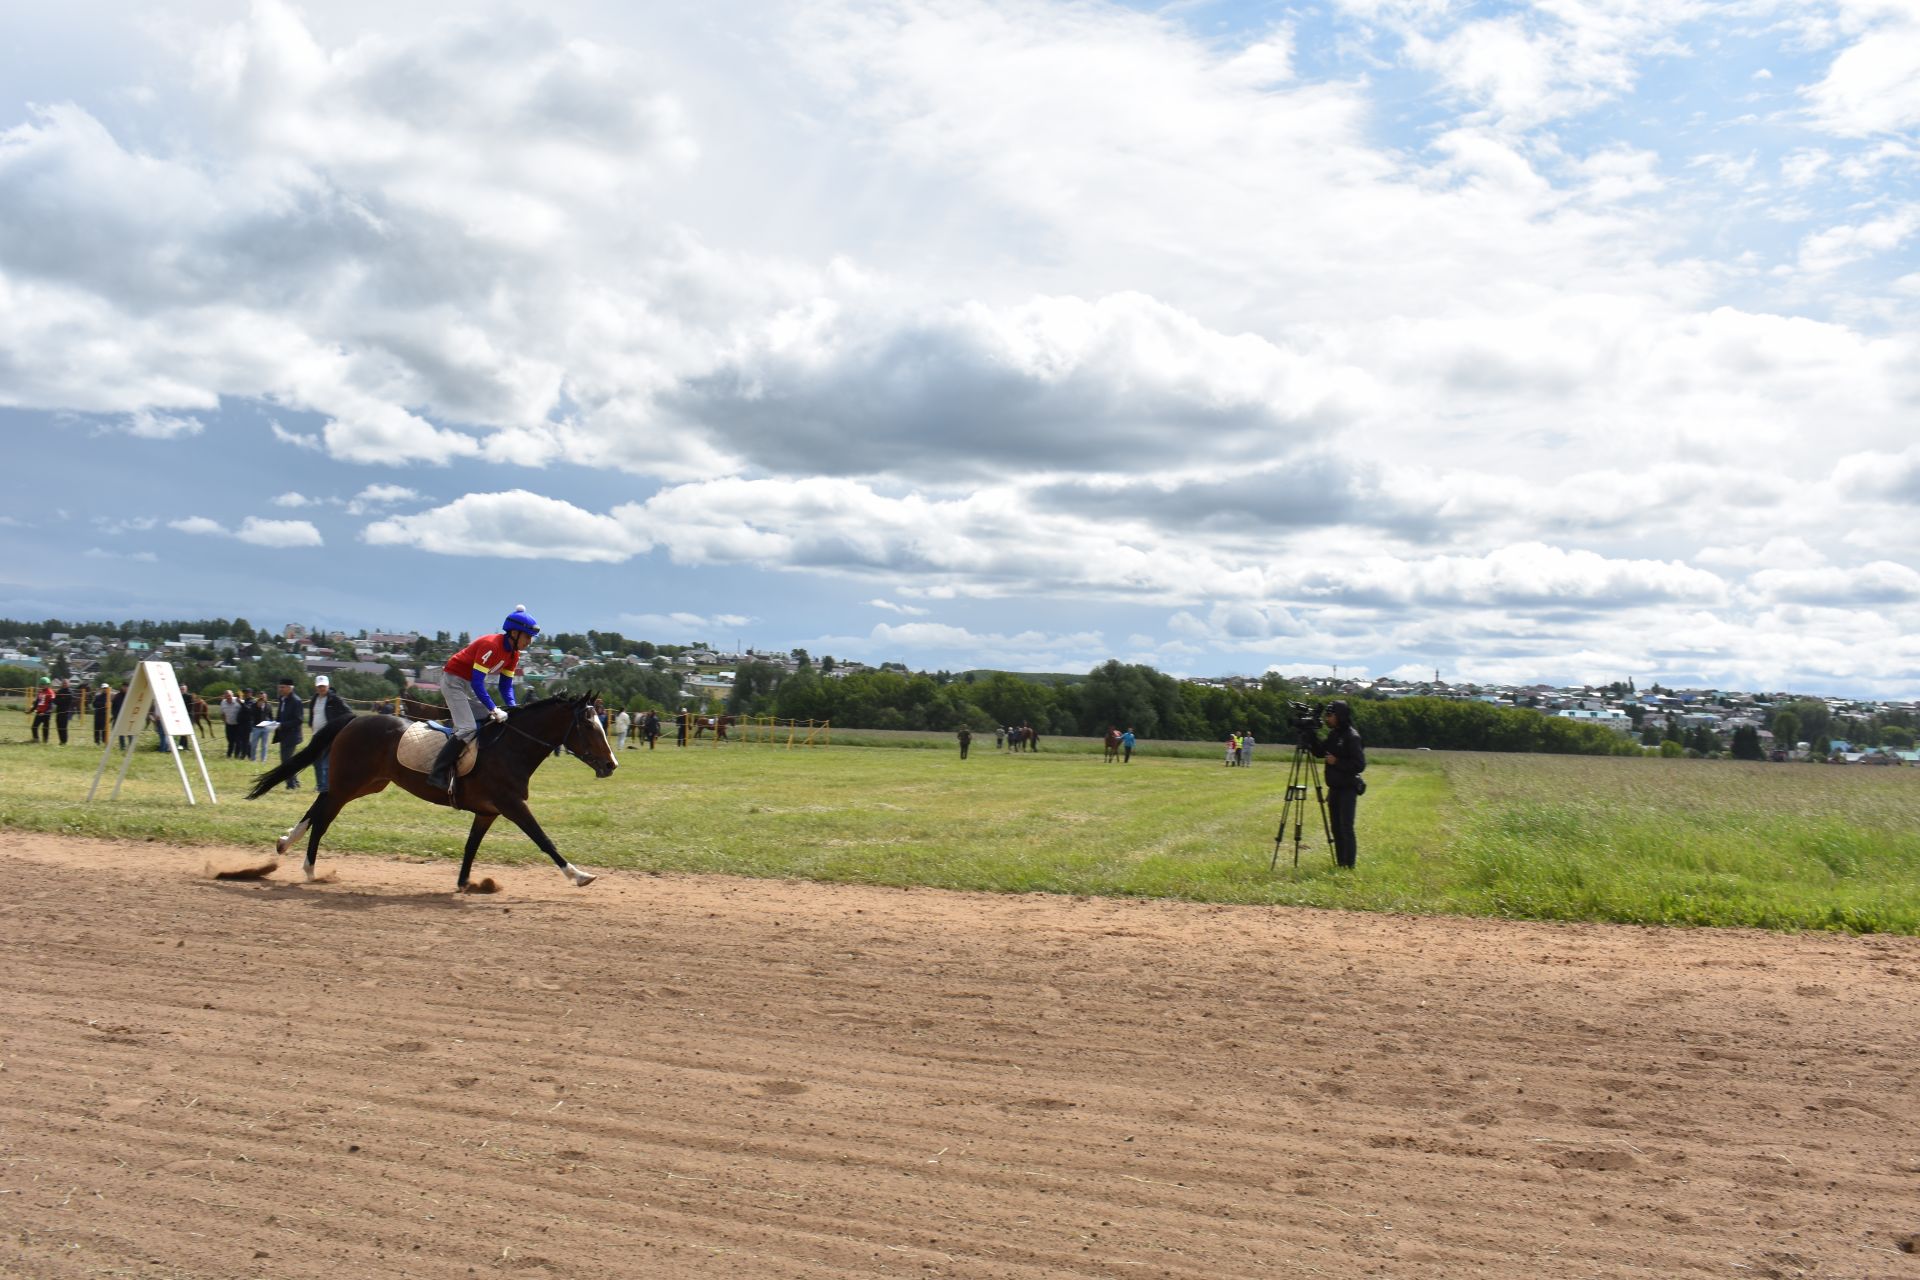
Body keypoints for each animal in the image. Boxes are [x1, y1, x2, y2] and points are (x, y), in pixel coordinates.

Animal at [247, 690, 618, 890]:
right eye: (588, 726)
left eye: (601, 723)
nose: (611, 764)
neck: (511, 747)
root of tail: (355, 719)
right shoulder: (512, 805)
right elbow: (544, 840)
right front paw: (579, 875)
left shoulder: (488, 812)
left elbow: (471, 846)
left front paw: (465, 883)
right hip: (349, 783)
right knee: (323, 818)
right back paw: (309, 868)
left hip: (364, 784)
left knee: (318, 805)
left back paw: (284, 842)